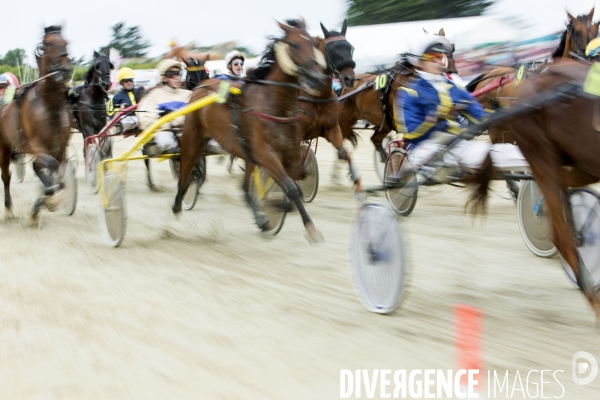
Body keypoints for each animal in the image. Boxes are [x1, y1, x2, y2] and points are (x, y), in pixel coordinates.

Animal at [0, 26, 72, 223]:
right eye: (49, 43)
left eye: (65, 42)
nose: (65, 69)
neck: (50, 105)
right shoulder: (34, 144)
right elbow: (50, 167)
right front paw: (47, 199)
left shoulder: (60, 148)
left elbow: (59, 176)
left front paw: (44, 203)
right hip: (4, 149)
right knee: (6, 176)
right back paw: (8, 209)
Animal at [173, 18, 328, 242]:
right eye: (295, 45)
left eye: (314, 44)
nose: (317, 78)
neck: (276, 104)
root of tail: (201, 86)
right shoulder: (266, 154)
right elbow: (290, 187)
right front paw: (310, 228)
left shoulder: (289, 151)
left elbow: (299, 175)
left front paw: (278, 205)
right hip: (193, 138)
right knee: (186, 170)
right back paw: (177, 206)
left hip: (245, 152)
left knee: (244, 187)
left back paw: (262, 220)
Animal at [296, 19, 360, 191]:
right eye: (333, 50)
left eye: (350, 47)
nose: (349, 78)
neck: (316, 97)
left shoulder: (331, 128)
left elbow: (343, 153)